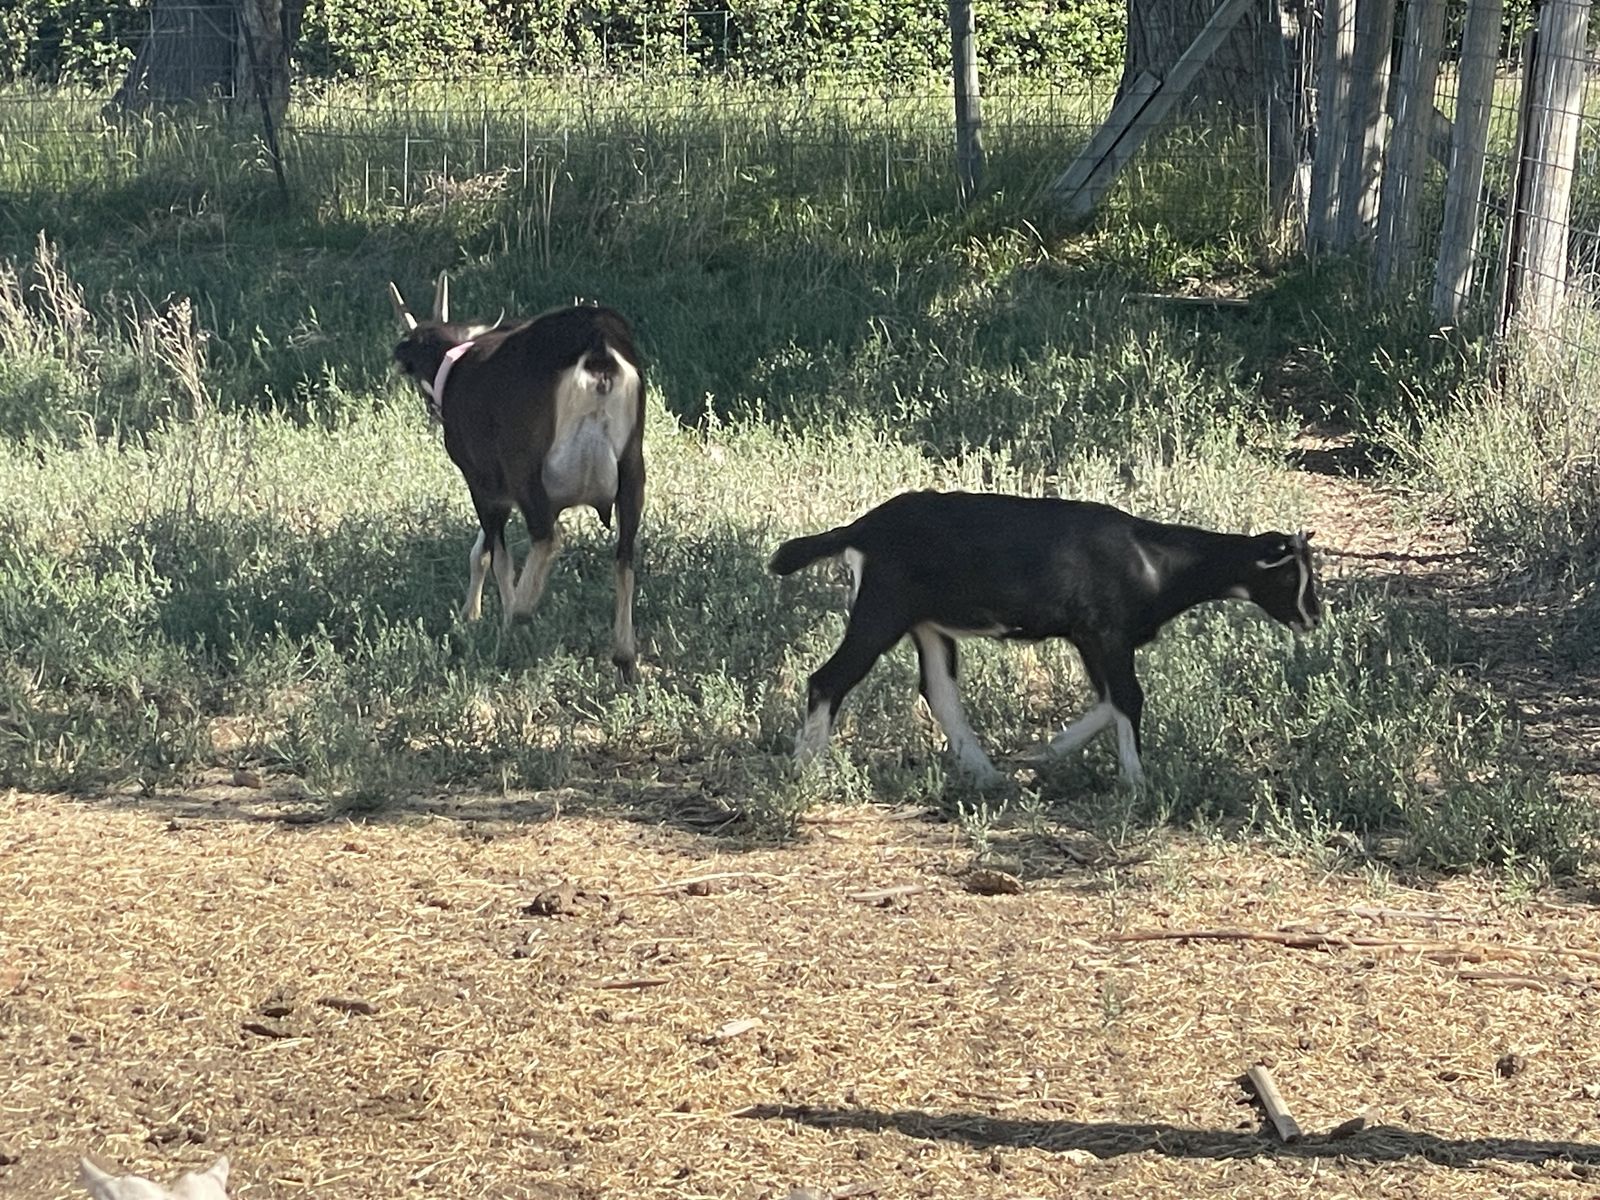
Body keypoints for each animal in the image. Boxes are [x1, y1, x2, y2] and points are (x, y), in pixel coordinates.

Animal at [389, 274, 646, 683]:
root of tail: (597, 346)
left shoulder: (483, 483)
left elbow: (496, 556)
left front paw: (484, 614)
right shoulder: (501, 494)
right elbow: (481, 549)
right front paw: (470, 614)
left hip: (527, 469)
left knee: (547, 537)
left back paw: (515, 620)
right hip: (632, 467)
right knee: (624, 555)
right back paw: (624, 657)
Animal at [770, 490, 1321, 786]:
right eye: (1289, 578)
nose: (1313, 619)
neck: (1152, 561)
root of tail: (860, 529)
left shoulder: (1093, 638)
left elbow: (1110, 700)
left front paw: (1041, 753)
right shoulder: (1105, 632)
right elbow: (1129, 698)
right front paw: (1136, 781)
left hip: (927, 624)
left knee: (941, 693)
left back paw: (988, 774)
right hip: (882, 610)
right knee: (828, 679)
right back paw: (805, 769)